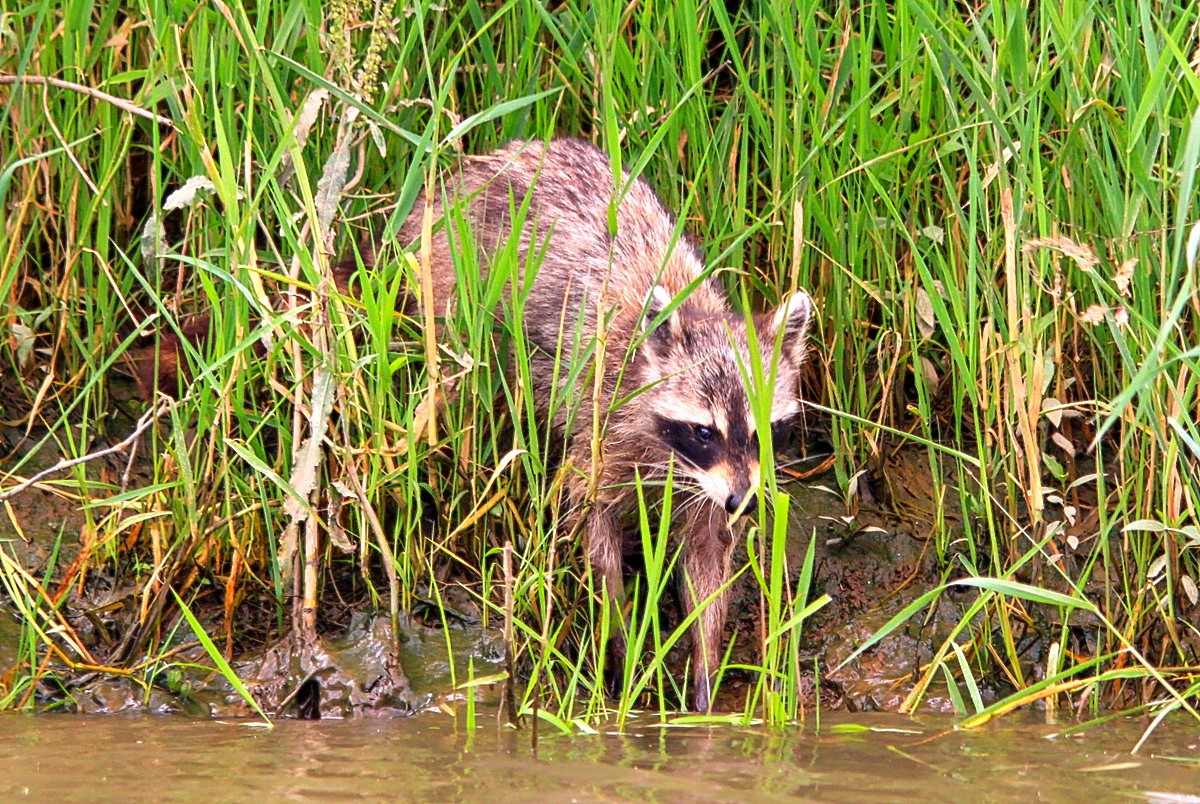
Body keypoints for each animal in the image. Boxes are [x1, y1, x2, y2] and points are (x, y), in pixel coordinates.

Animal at [401, 139, 814, 713]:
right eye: (704, 432)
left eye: (760, 434)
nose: (743, 503)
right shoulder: (604, 427)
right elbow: (594, 529)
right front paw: (619, 646)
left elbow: (708, 557)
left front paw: (705, 676)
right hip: (448, 278)